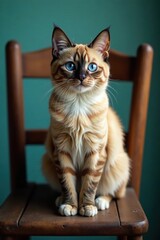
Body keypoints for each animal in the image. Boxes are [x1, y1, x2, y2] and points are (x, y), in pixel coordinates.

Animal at [42, 26, 130, 218]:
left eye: (92, 67)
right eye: (70, 66)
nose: (82, 76)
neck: (78, 105)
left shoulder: (95, 151)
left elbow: (89, 184)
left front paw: (87, 207)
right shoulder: (62, 151)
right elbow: (67, 183)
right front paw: (70, 206)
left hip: (118, 164)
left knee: (115, 192)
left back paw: (100, 202)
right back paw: (61, 200)